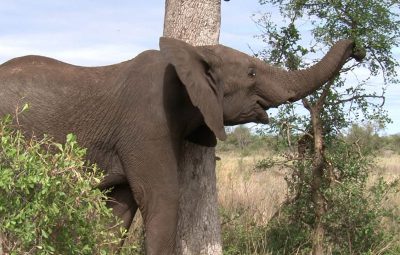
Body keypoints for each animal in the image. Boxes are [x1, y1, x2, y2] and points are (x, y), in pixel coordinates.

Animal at [0, 36, 364, 254]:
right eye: (250, 73)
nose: (358, 47)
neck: (194, 53)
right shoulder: (148, 124)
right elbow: (161, 199)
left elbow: (119, 210)